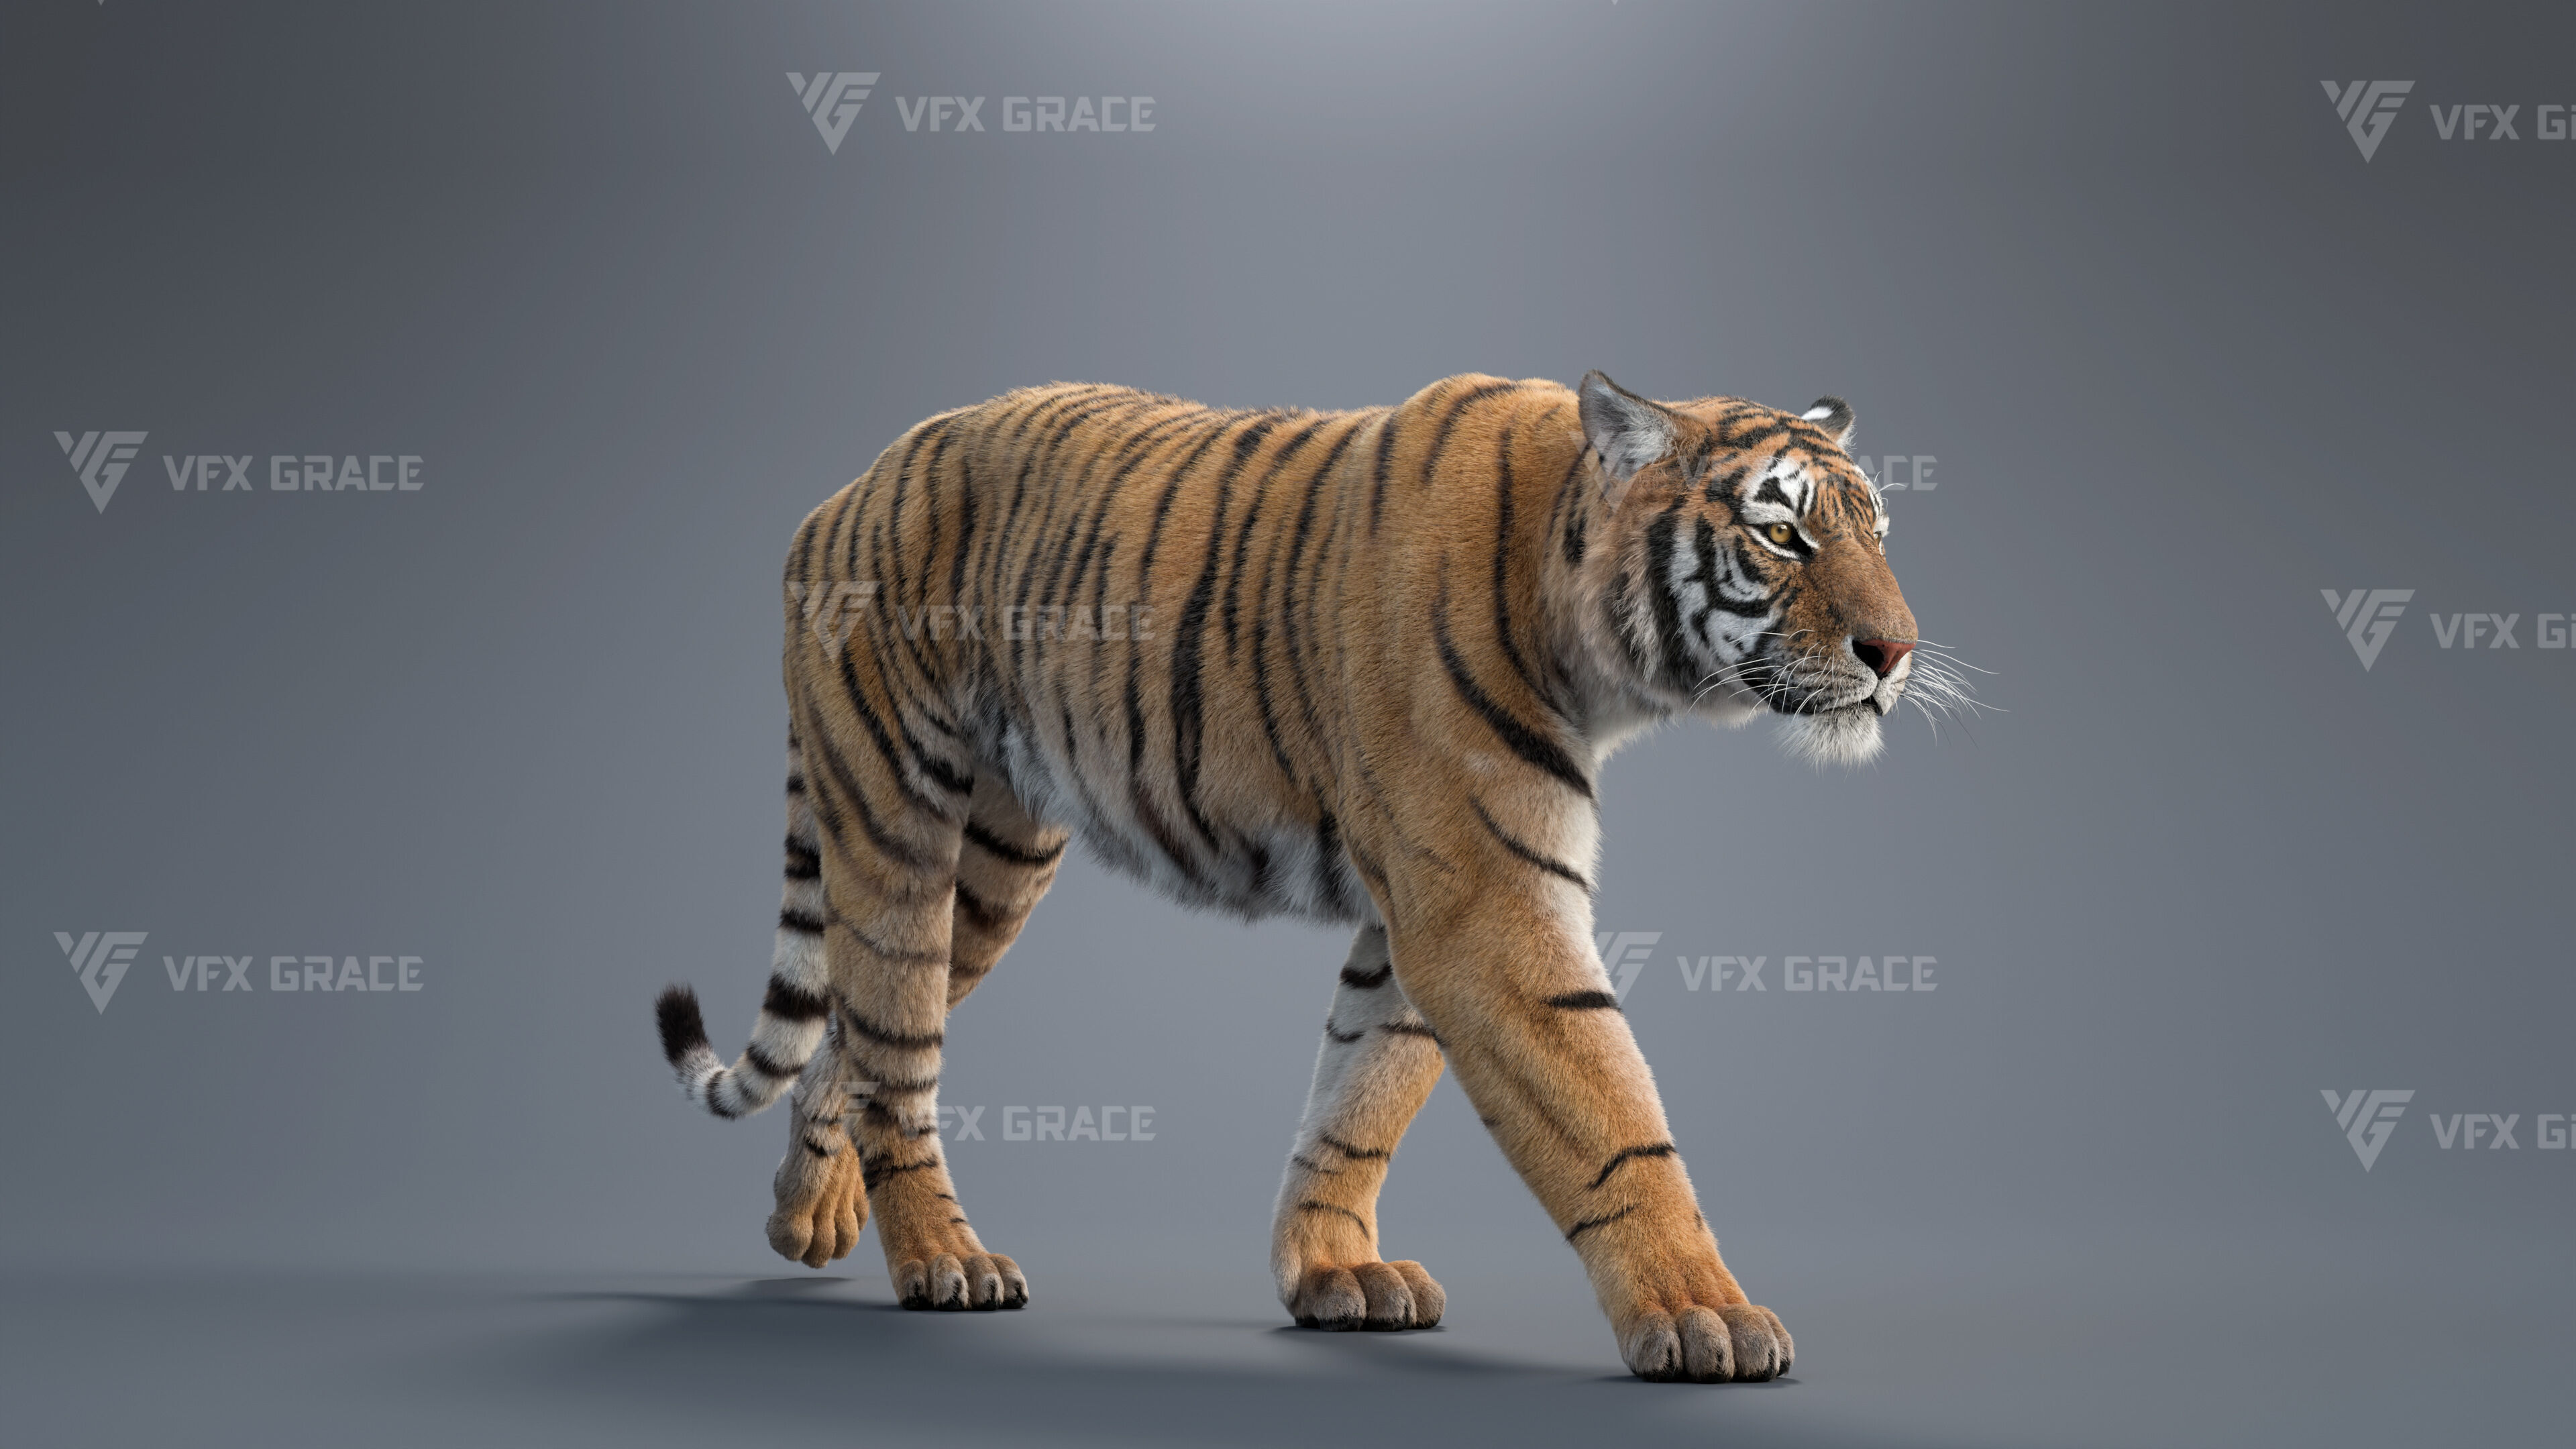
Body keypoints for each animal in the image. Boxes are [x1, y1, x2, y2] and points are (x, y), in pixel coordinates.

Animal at [653, 370, 1928, 1383]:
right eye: (1783, 537)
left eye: (1876, 531)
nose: (1896, 652)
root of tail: (844, 490)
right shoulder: (1484, 903)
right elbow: (1612, 1118)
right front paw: (1705, 1314)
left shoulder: (1424, 901)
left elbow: (1364, 1091)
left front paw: (1333, 1273)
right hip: (899, 823)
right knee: (897, 1050)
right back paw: (943, 1261)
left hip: (996, 864)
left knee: (854, 1040)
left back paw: (806, 1217)